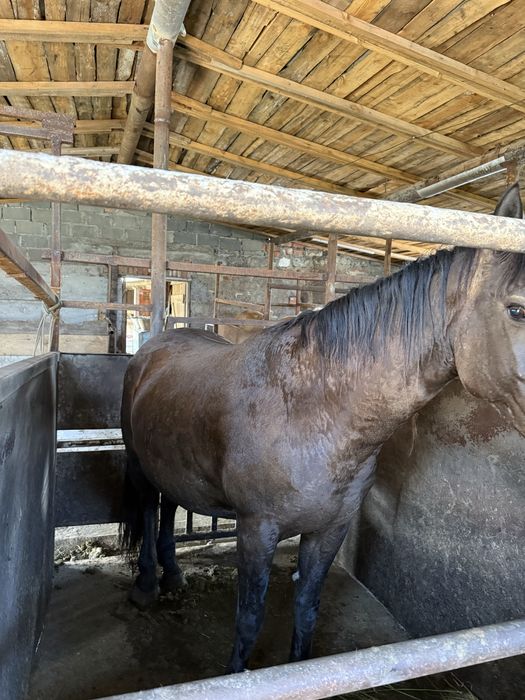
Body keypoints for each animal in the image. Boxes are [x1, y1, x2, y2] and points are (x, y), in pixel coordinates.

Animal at [120, 183, 525, 674]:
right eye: (517, 309)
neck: (314, 413)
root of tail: (156, 344)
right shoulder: (256, 530)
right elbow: (249, 619)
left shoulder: (329, 531)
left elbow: (307, 610)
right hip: (138, 462)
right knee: (147, 507)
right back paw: (146, 585)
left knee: (168, 505)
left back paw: (174, 574)